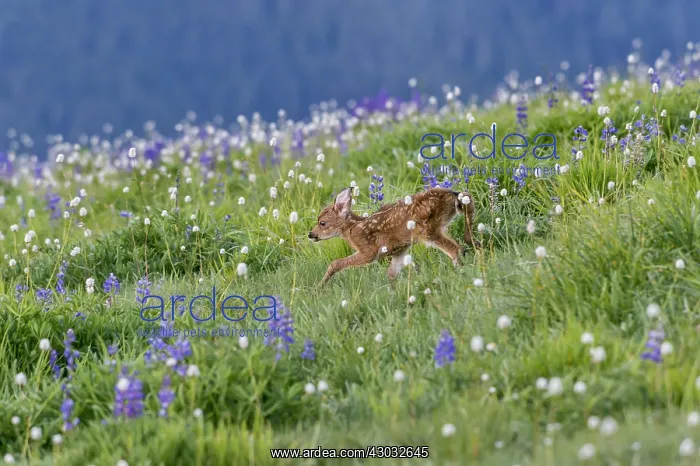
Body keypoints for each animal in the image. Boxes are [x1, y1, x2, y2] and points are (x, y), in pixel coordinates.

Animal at [308, 187, 481, 286]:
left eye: (322, 223)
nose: (311, 234)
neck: (352, 229)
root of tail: (451, 195)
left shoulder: (368, 250)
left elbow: (336, 263)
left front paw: (319, 287)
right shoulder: (399, 251)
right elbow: (391, 274)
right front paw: (394, 292)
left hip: (427, 229)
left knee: (455, 249)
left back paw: (461, 272)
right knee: (468, 202)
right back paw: (475, 245)